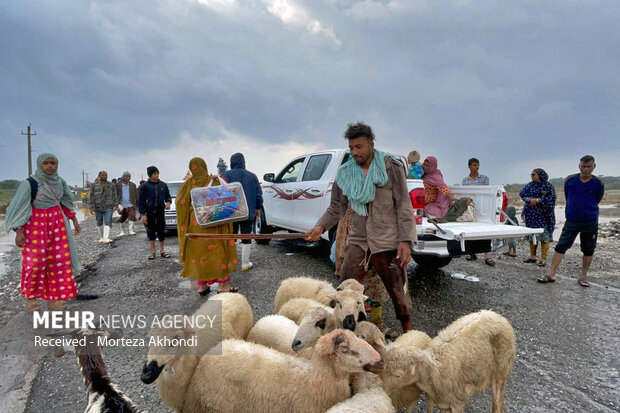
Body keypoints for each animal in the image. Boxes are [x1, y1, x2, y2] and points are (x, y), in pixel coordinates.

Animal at [380, 308, 516, 412]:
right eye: (383, 369)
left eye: (398, 375)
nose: (382, 389)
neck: (435, 369)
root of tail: (496, 315)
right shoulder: (443, 403)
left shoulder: (457, 402)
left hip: (501, 373)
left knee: (497, 405)